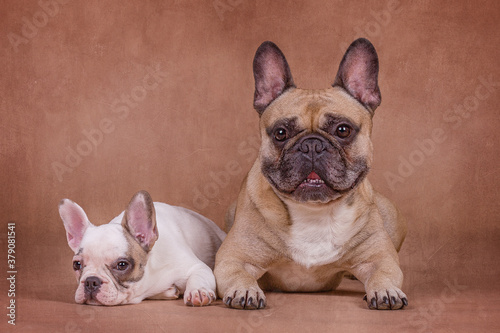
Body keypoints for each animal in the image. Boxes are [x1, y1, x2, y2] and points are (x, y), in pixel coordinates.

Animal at [57, 189, 227, 306]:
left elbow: (198, 276)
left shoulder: (196, 267)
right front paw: (168, 291)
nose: (91, 281)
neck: (150, 275)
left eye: (122, 265)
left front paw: (197, 291)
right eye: (76, 264)